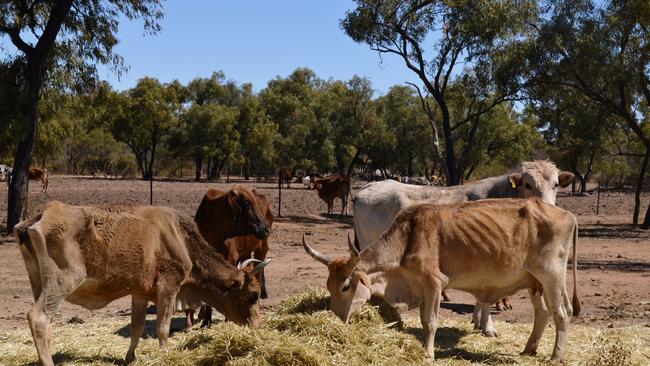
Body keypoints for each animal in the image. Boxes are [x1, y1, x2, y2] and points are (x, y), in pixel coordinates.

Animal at [13, 202, 266, 364]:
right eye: (252, 295)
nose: (257, 326)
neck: (180, 239)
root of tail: (40, 216)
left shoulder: (140, 293)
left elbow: (137, 326)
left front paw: (130, 357)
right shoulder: (168, 287)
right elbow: (162, 327)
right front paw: (166, 355)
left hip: (38, 282)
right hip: (62, 281)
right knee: (38, 318)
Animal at [192, 187, 270, 328]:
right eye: (246, 203)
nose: (266, 229)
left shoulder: (231, 258)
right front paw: (206, 321)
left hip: (262, 248)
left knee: (260, 273)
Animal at [302, 197, 580, 360]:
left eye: (346, 286)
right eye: (329, 286)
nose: (336, 318)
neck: (408, 237)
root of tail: (568, 215)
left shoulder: (434, 283)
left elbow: (430, 322)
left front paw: (428, 354)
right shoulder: (422, 287)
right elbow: (424, 320)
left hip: (552, 276)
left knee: (562, 313)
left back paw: (556, 357)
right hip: (535, 282)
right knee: (542, 314)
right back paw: (529, 349)